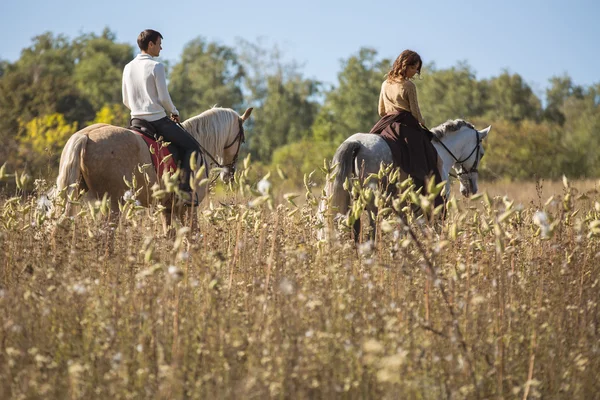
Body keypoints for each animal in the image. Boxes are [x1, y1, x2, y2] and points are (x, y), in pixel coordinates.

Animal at [55, 106, 252, 217]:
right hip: (113, 204)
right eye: (242, 139)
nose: (229, 174)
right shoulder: (188, 208)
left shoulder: (167, 207)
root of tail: (85, 136)